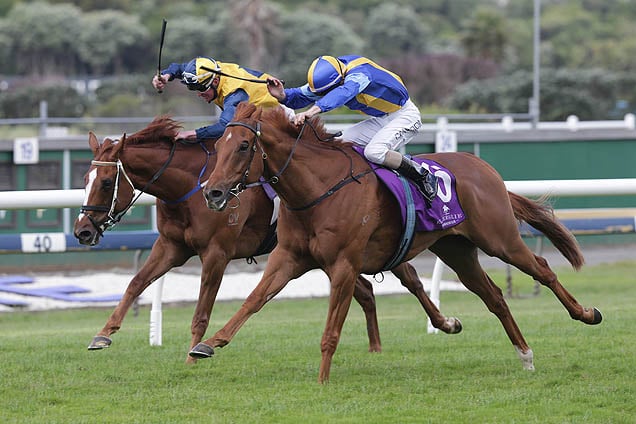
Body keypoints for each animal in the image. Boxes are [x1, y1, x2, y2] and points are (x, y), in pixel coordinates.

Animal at [73, 117, 452, 364]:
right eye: (84, 178)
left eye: (105, 182)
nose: (82, 231)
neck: (190, 186)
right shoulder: (171, 246)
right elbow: (136, 283)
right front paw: (103, 334)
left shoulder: (217, 253)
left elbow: (201, 312)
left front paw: (194, 356)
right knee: (366, 291)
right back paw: (375, 347)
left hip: (380, 248)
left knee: (412, 279)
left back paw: (444, 322)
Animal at [196, 103, 604, 384]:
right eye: (219, 144)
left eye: (244, 145)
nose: (212, 192)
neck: (316, 190)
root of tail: (484, 168)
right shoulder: (289, 258)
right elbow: (253, 300)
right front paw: (208, 344)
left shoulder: (344, 265)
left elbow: (331, 329)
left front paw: (323, 379)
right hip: (457, 251)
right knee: (494, 298)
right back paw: (525, 354)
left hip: (499, 239)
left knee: (543, 270)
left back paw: (586, 314)